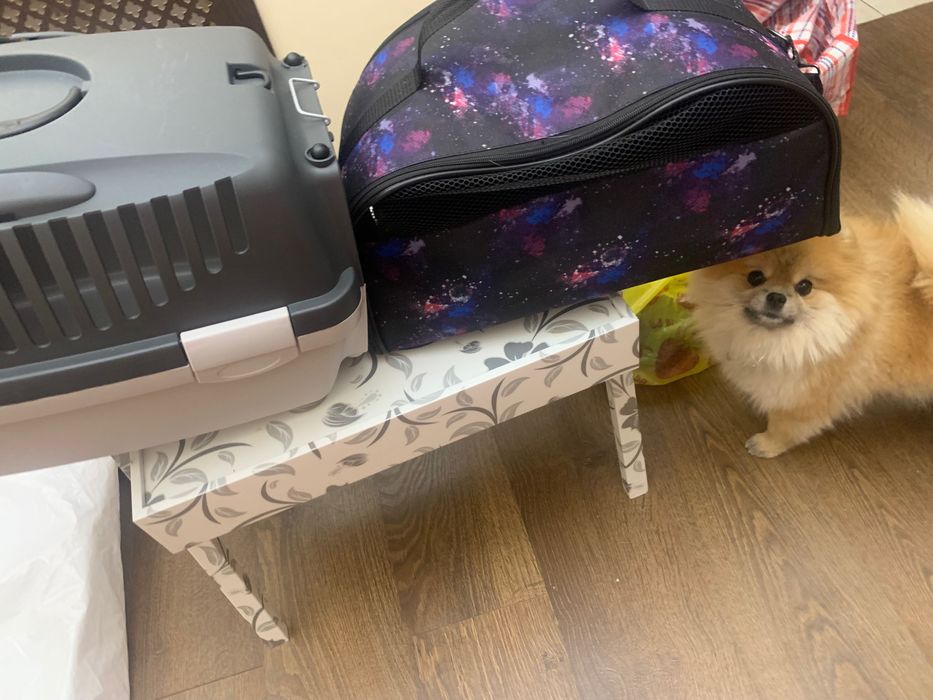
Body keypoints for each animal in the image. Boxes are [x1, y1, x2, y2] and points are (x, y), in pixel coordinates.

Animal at [687, 195, 933, 458]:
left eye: (804, 287)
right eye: (755, 277)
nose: (776, 297)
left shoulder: (807, 397)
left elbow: (785, 425)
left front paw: (766, 444)